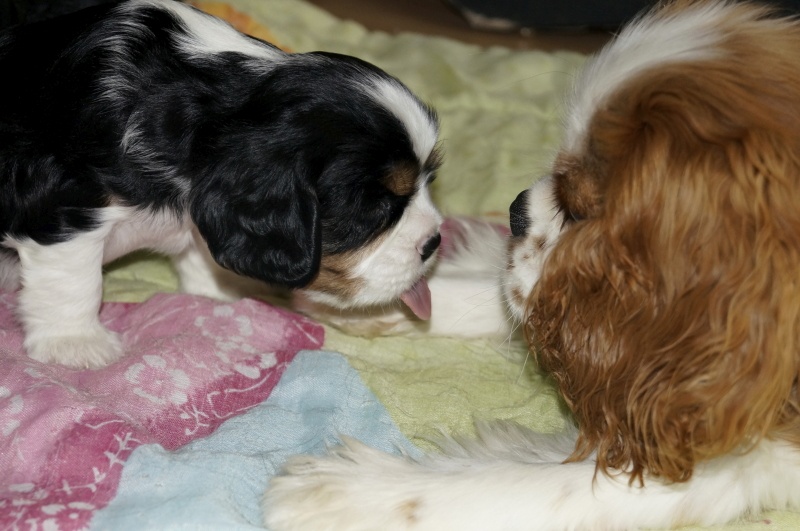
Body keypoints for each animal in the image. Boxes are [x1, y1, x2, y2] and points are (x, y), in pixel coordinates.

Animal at [0, 0, 443, 369]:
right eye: (375, 208)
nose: (435, 242)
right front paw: (75, 342)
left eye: (428, 181)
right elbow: (74, 278)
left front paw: (214, 296)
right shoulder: (67, 207)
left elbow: (201, 252)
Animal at [263, 1, 800, 529]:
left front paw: (356, 495)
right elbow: (517, 294)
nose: (516, 209)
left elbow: (545, 486)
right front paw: (379, 298)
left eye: (579, 210)